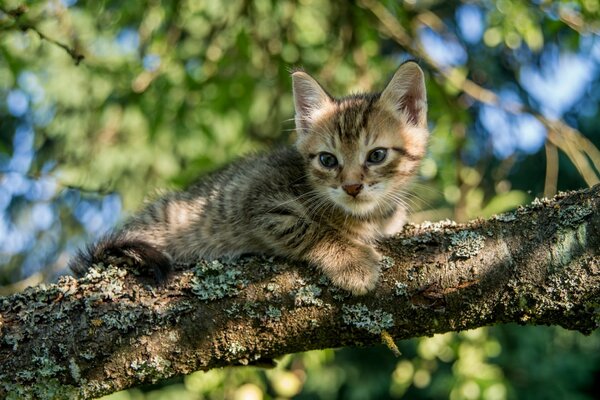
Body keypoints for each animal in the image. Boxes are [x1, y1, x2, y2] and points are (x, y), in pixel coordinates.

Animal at [69, 61, 426, 294]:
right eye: (328, 160)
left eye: (376, 155)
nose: (351, 187)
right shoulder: (260, 203)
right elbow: (312, 230)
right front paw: (352, 262)